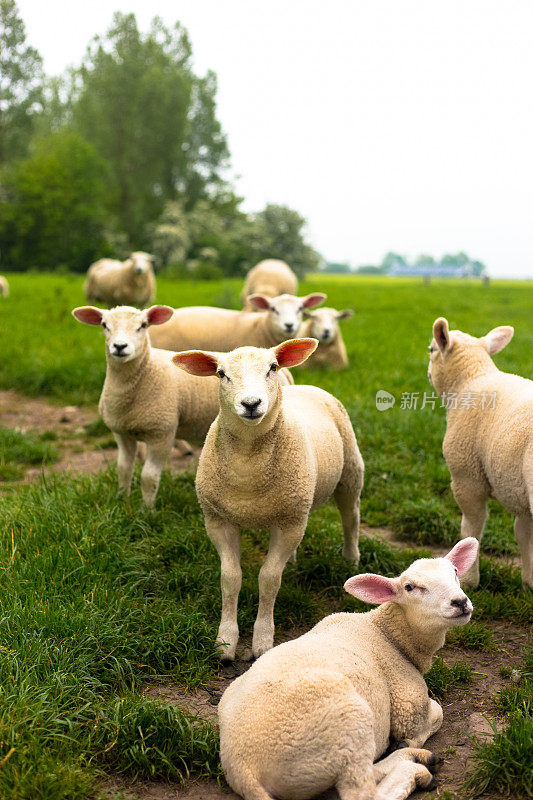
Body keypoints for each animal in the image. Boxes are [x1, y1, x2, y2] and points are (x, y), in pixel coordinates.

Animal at [172, 334, 364, 660]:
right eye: (221, 374)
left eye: (272, 367)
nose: (251, 404)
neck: (248, 466)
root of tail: (304, 386)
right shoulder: (218, 521)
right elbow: (230, 578)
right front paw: (225, 641)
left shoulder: (289, 523)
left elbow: (269, 579)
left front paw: (262, 640)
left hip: (349, 473)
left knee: (351, 517)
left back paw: (351, 560)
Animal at [216, 536, 478, 800]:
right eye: (410, 587)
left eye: (455, 572)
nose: (460, 602)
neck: (389, 635)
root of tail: (241, 767)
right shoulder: (408, 705)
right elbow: (436, 714)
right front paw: (409, 743)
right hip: (349, 728)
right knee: (361, 791)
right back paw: (412, 766)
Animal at [428, 316, 532, 592]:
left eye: (431, 350)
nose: (428, 374)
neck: (472, 378)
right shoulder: (519, 490)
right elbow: (523, 533)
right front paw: (529, 582)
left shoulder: (467, 477)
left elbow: (471, 528)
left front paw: (468, 580)